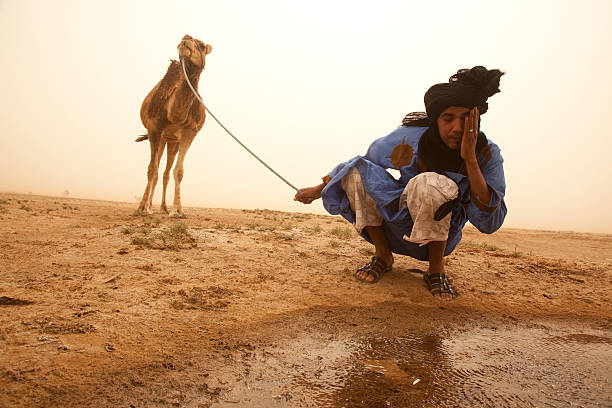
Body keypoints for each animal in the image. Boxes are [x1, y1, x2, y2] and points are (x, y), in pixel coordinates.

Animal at [133, 35, 212, 217]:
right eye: (185, 38)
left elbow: (179, 171)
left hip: (172, 141)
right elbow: (151, 169)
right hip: (161, 138)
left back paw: (163, 208)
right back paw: (149, 207)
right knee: (156, 170)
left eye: (201, 45)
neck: (174, 114)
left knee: (166, 172)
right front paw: (141, 208)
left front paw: (178, 210)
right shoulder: (154, 129)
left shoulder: (190, 133)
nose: (186, 39)